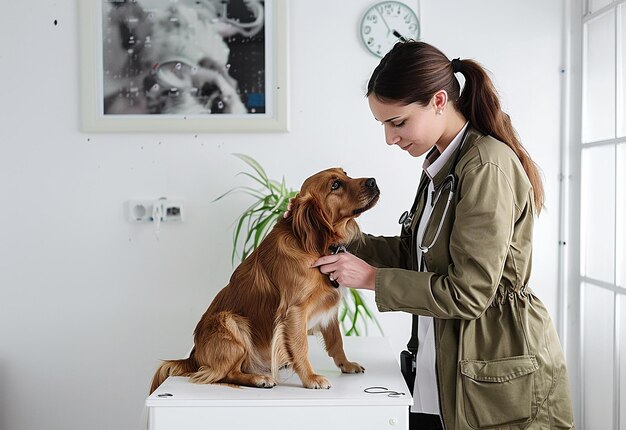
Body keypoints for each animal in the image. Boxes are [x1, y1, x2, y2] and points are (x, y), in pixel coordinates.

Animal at [149, 168, 378, 394]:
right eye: (335, 185)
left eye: (346, 174)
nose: (373, 181)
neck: (312, 246)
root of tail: (193, 358)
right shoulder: (295, 311)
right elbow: (301, 346)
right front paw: (311, 378)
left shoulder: (328, 306)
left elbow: (336, 340)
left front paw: (346, 364)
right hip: (230, 321)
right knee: (224, 373)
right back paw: (258, 378)